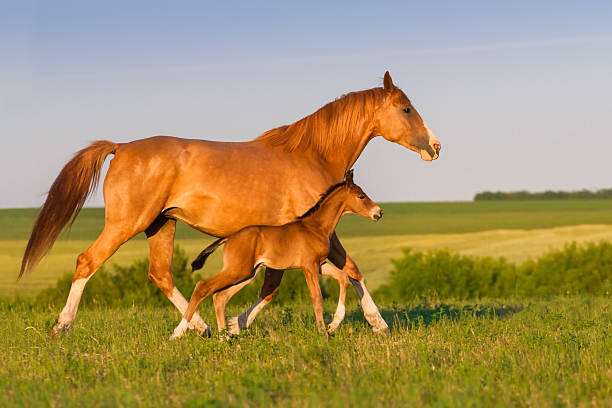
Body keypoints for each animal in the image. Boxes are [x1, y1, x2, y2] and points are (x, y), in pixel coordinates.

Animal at [175, 171, 380, 340]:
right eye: (361, 196)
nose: (379, 212)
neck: (316, 227)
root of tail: (229, 237)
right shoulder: (309, 266)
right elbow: (317, 298)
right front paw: (324, 333)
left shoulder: (320, 264)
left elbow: (343, 278)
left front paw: (333, 325)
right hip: (237, 270)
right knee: (203, 287)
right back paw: (178, 333)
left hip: (248, 273)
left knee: (220, 296)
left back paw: (224, 337)